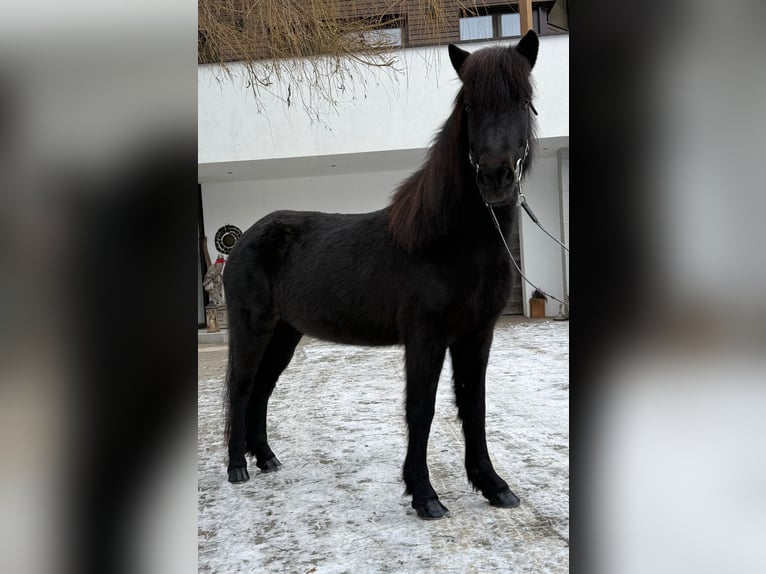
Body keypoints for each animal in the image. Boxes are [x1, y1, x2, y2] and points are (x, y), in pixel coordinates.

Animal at [223, 30, 539, 519]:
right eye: (468, 106)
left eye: (523, 101)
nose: (495, 177)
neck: (447, 240)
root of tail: (245, 238)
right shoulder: (426, 336)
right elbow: (421, 408)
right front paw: (425, 495)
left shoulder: (477, 334)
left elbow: (474, 406)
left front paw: (492, 485)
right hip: (252, 329)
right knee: (241, 387)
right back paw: (237, 466)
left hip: (284, 334)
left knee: (262, 390)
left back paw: (266, 459)